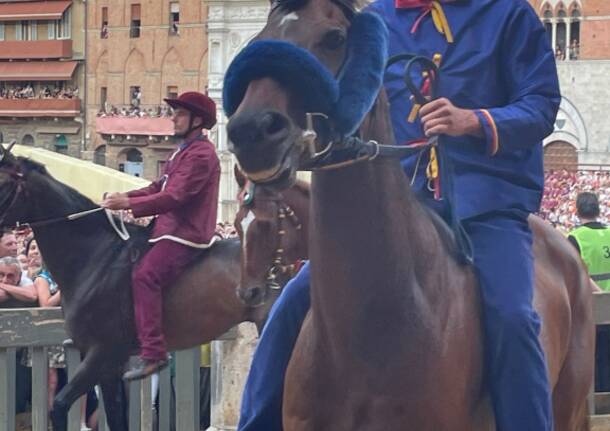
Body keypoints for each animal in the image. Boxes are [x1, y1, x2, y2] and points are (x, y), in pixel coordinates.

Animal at [0, 148, 296, 431]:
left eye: (4, 183)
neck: (97, 257)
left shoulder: (104, 352)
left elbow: (60, 406)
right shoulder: (109, 365)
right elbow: (114, 417)